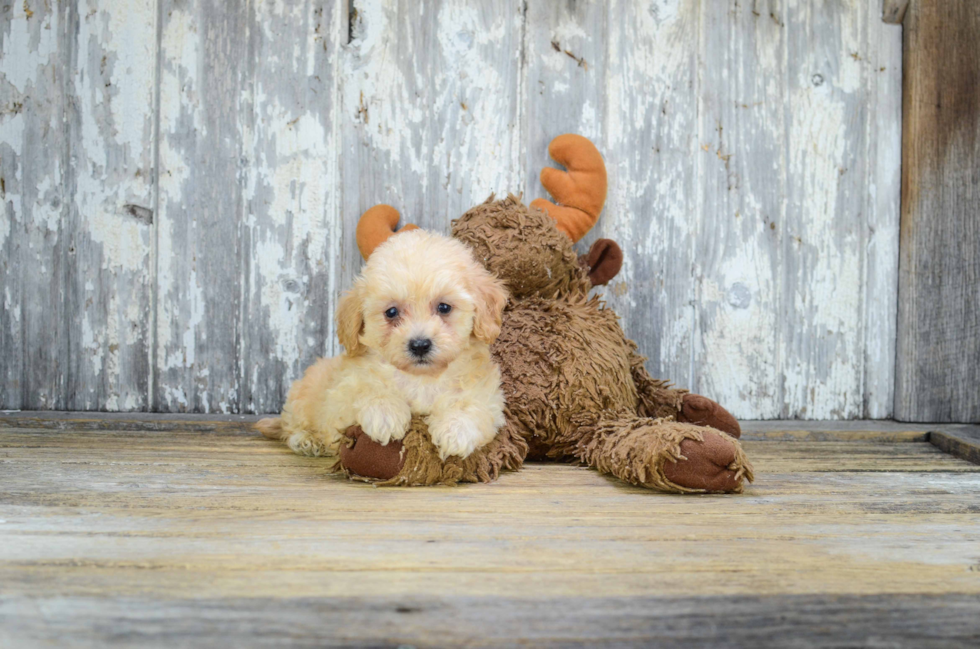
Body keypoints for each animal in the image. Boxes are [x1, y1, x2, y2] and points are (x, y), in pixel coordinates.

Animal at [256, 228, 510, 460]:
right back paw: (307, 440)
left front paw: (455, 431)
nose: (419, 345)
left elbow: (470, 405)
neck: (421, 378)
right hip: (302, 399)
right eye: (391, 312)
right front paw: (385, 414)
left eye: (444, 307)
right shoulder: (341, 395)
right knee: (290, 427)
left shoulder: (488, 398)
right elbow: (367, 389)